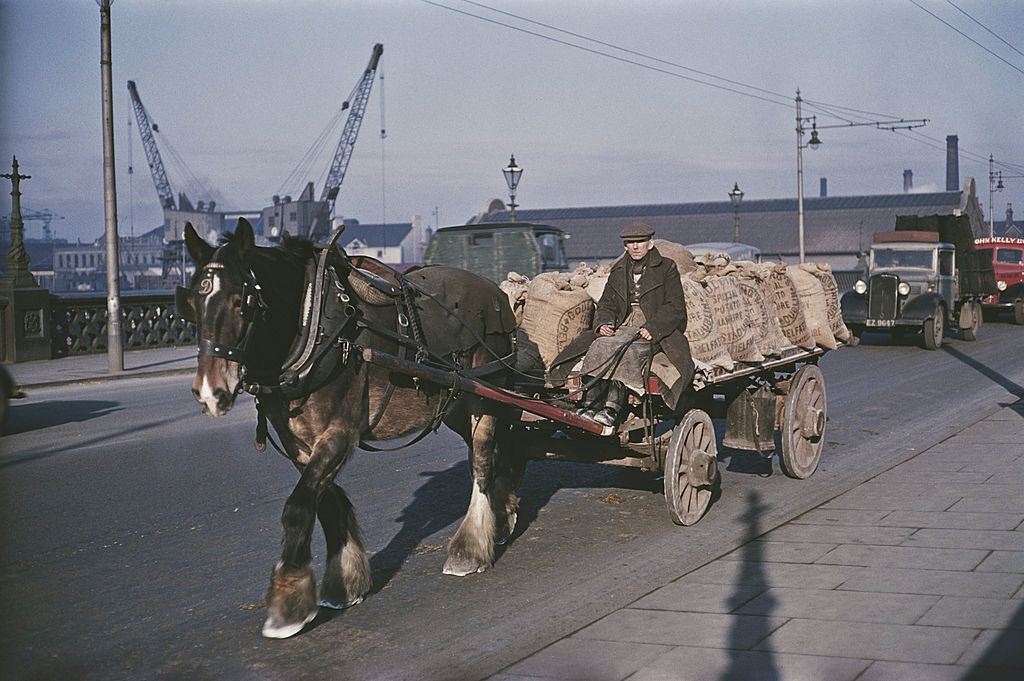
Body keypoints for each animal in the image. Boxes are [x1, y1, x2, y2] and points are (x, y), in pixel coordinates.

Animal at [175, 218, 520, 639]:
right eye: (192, 305)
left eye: (242, 302)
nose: (210, 393)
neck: (313, 326)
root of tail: (497, 293)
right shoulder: (300, 444)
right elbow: (327, 505)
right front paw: (344, 582)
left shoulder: (340, 432)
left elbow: (298, 507)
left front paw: (288, 603)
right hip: (454, 403)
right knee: (489, 450)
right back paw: (503, 512)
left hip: (484, 394)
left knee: (482, 459)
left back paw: (471, 546)